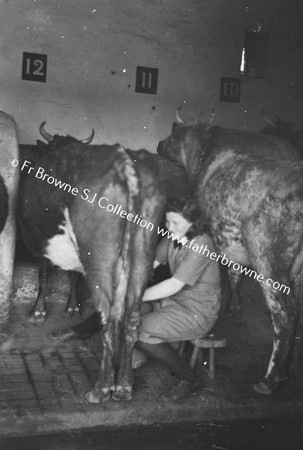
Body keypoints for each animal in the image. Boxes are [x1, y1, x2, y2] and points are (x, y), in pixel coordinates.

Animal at [18, 142, 166, 400]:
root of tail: (125, 164)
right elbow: (71, 276)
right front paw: (71, 307)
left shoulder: (44, 245)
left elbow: (44, 274)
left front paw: (38, 311)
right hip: (144, 251)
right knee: (132, 317)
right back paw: (124, 386)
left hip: (98, 257)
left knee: (108, 317)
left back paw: (101, 389)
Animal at [158, 114, 303, 396]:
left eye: (172, 135)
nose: (159, 145)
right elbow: (235, 272)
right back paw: (291, 368)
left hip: (267, 259)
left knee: (284, 314)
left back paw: (270, 379)